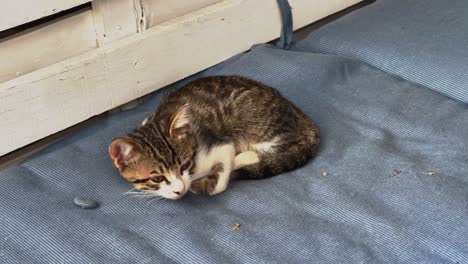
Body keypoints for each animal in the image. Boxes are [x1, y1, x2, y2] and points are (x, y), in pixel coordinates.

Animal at [109, 76, 320, 200]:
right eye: (157, 178)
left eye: (184, 166)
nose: (180, 189)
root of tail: (301, 117)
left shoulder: (219, 143)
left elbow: (224, 168)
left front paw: (206, 184)